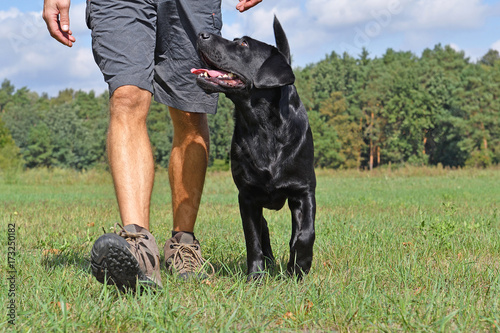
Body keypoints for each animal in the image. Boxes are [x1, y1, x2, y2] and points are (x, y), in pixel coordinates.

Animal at [192, 16, 316, 278]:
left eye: (243, 44)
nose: (201, 34)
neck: (262, 126)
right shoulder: (247, 196)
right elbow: (253, 239)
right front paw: (256, 276)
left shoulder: (304, 190)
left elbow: (304, 234)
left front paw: (299, 266)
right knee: (263, 229)